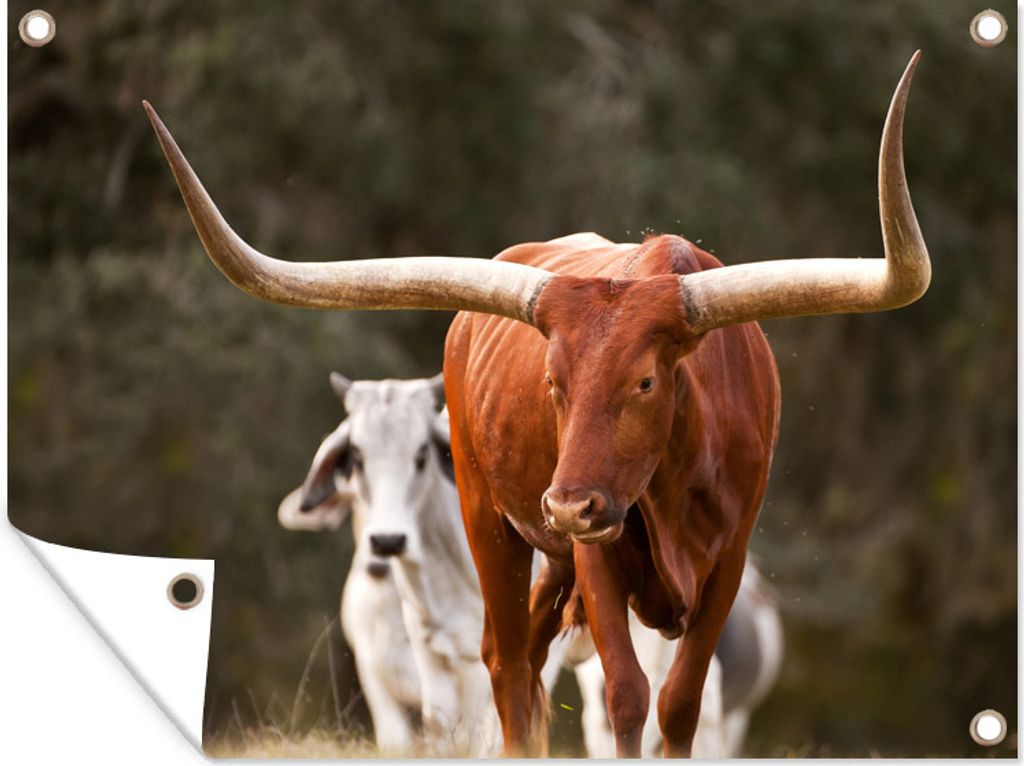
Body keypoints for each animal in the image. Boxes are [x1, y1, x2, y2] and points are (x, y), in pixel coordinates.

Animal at [144, 52, 929, 757]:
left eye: (645, 382)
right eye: (553, 382)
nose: (569, 505)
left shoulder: (727, 561)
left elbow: (678, 703)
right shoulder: (596, 555)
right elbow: (625, 695)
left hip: (554, 553)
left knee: (526, 660)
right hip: (493, 519)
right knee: (508, 663)